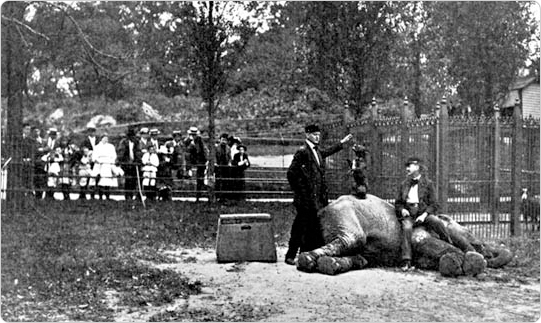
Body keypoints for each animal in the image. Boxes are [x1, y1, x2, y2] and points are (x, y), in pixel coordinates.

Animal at [298, 194, 512, 278]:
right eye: (469, 233)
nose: (483, 249)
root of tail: (322, 212)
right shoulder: (419, 232)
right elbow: (427, 243)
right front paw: (469, 262)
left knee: (359, 256)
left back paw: (328, 264)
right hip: (344, 215)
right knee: (350, 239)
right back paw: (306, 259)